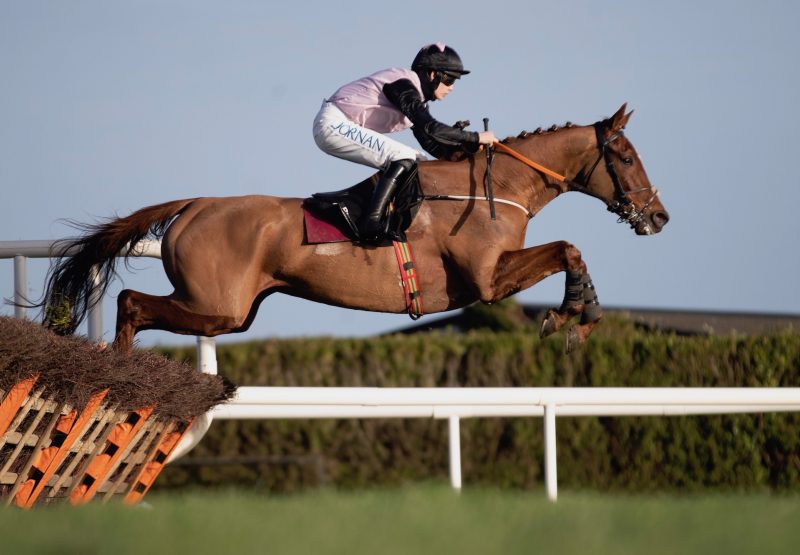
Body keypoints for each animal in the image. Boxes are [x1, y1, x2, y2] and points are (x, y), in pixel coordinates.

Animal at [42, 103, 668, 352]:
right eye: (627, 157)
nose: (659, 216)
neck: (496, 190)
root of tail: (196, 205)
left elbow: (570, 250)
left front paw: (581, 316)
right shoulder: (488, 281)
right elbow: (567, 248)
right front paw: (570, 317)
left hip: (231, 314)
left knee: (135, 304)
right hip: (215, 305)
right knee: (130, 302)